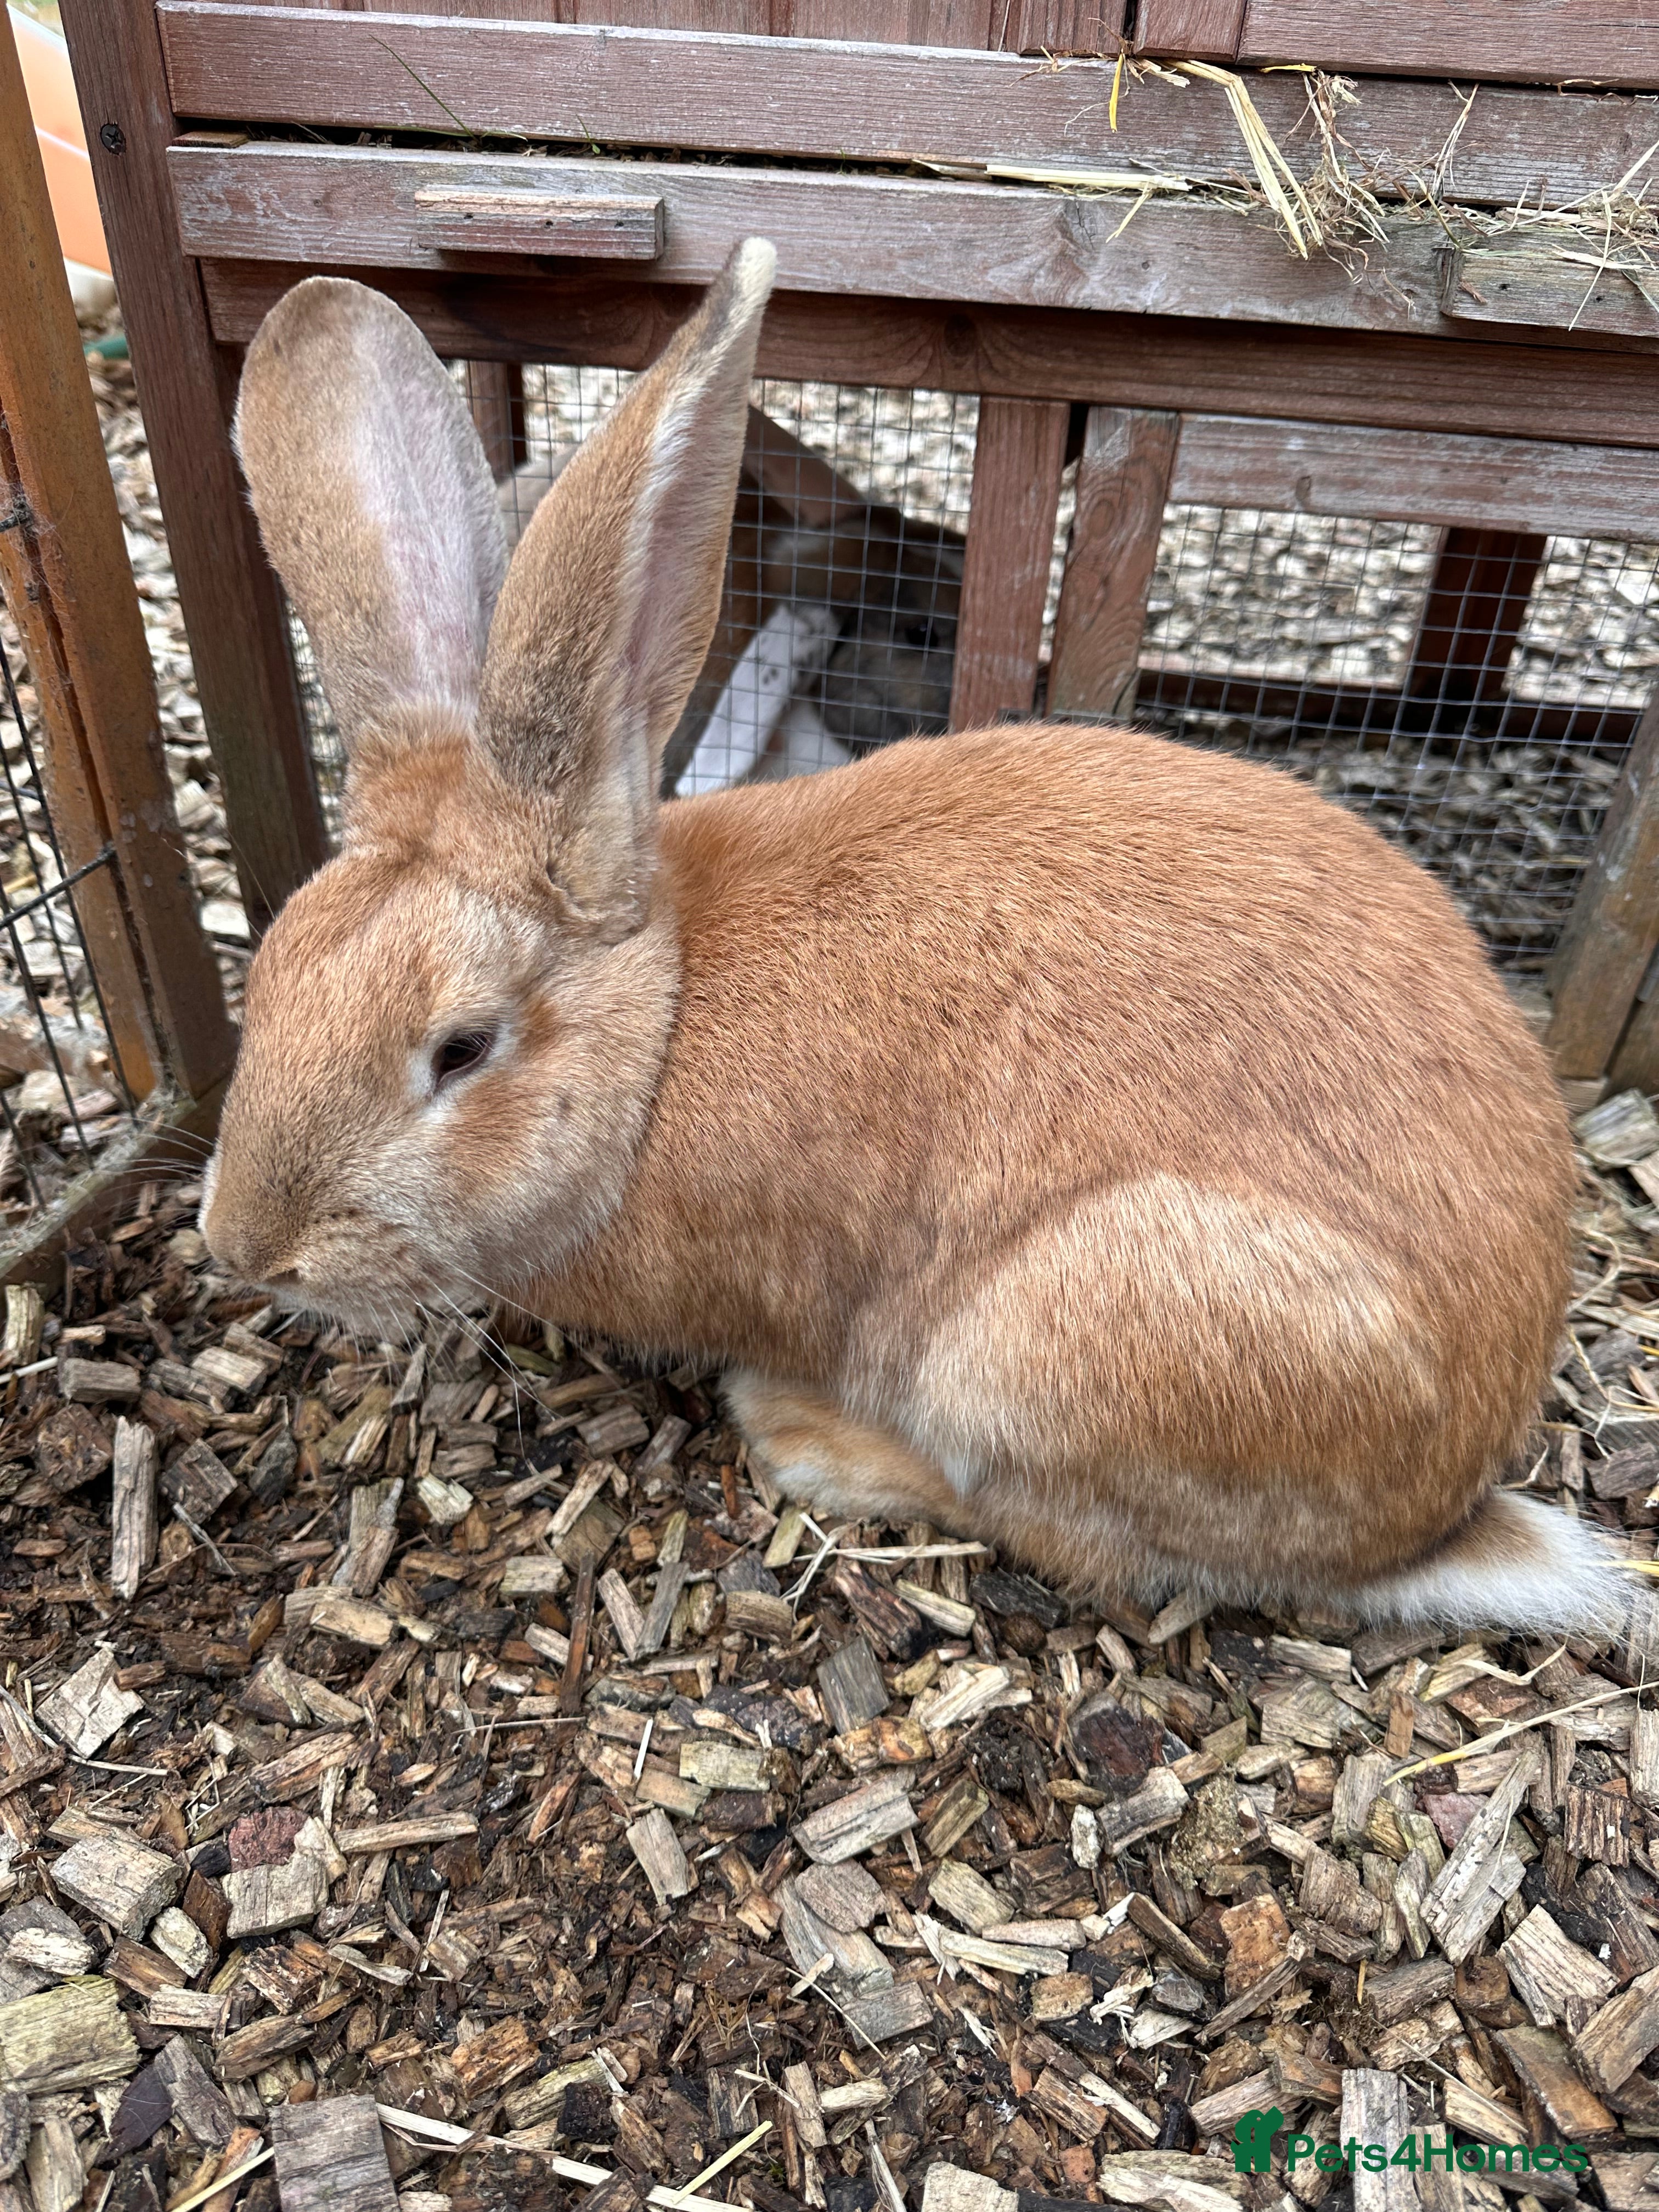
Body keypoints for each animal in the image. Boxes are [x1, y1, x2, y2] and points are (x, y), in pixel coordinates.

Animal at [205, 240, 1617, 1638]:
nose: (246, 1250)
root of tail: (1440, 1512)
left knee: (1077, 1543)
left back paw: (812, 1437)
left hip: (1052, 1349)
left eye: (459, 1050)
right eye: (267, 977)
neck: (657, 1026)